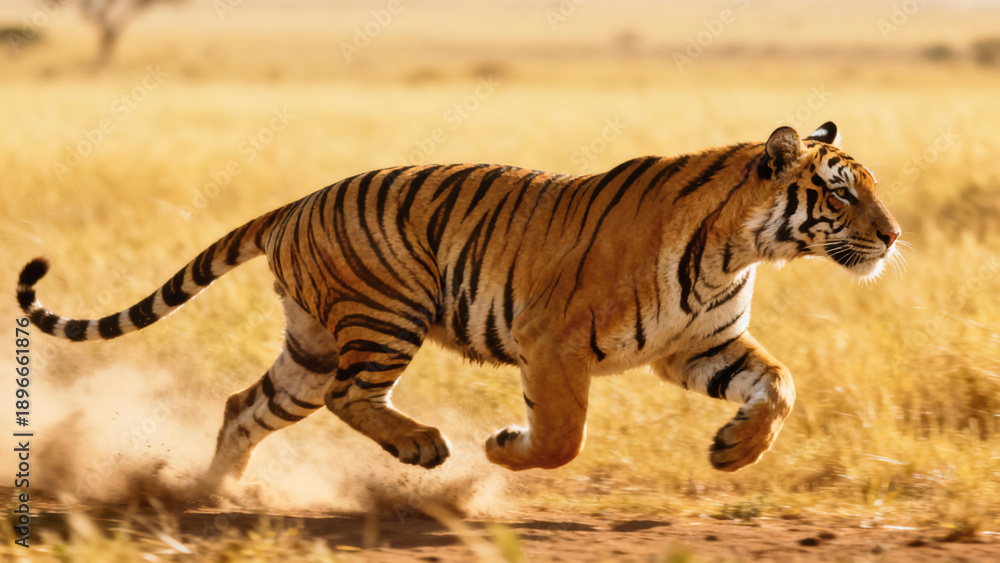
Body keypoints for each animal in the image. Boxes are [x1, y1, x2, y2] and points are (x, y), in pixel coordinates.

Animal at [17, 121, 900, 491]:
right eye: (841, 193)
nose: (893, 237)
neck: (741, 250)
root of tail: (296, 203)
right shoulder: (555, 342)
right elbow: (563, 437)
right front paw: (504, 450)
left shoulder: (698, 346)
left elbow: (780, 385)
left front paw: (734, 451)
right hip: (384, 314)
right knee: (351, 396)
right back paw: (423, 447)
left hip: (309, 345)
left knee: (246, 405)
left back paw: (212, 497)